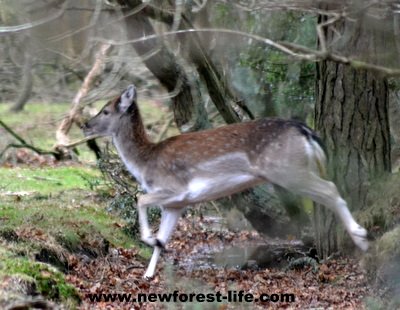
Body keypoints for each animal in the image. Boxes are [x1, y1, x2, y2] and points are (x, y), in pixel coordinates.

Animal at [82, 84, 368, 278]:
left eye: (105, 111)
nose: (85, 125)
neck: (145, 163)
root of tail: (306, 130)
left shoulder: (175, 189)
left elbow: (140, 198)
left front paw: (148, 240)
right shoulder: (175, 205)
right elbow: (163, 240)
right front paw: (148, 272)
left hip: (288, 170)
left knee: (331, 189)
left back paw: (361, 237)